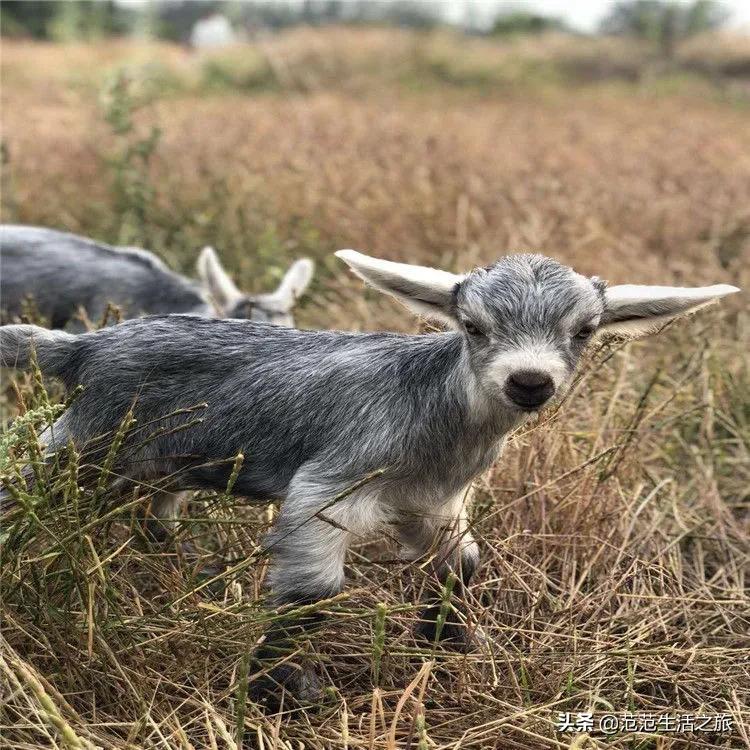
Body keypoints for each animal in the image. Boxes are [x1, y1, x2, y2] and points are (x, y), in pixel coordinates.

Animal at [0, 253, 740, 704]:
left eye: (584, 331)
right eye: (473, 327)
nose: (529, 381)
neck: (435, 413)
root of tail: (85, 348)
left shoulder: (434, 502)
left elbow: (463, 562)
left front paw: (448, 641)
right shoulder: (329, 486)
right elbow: (311, 592)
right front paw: (281, 690)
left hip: (161, 464)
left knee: (158, 514)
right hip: (82, 441)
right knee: (24, 484)